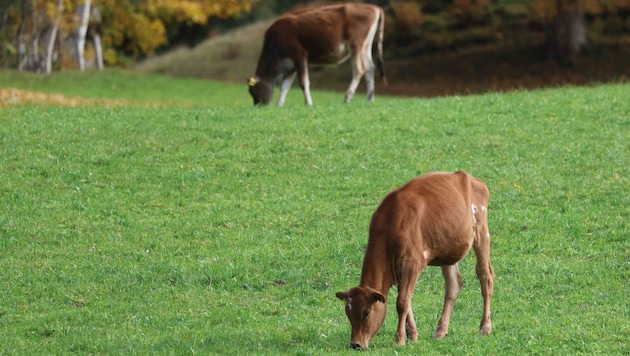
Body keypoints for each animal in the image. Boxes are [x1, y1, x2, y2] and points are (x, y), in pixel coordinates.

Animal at [246, 3, 386, 105]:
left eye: (253, 91)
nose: (258, 105)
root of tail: (374, 7)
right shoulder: (291, 64)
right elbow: (285, 86)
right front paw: (279, 104)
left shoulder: (299, 54)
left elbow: (303, 82)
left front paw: (308, 103)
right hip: (365, 46)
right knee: (370, 67)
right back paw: (369, 99)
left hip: (356, 44)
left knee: (359, 69)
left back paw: (347, 97)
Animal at [338, 171, 496, 350]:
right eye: (348, 313)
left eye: (366, 312)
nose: (355, 344)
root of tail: (470, 177)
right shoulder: (398, 267)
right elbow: (406, 300)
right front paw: (412, 335)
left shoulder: (413, 261)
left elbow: (402, 301)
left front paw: (399, 339)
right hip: (448, 248)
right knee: (454, 284)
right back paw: (440, 330)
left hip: (481, 232)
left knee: (486, 277)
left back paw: (485, 327)